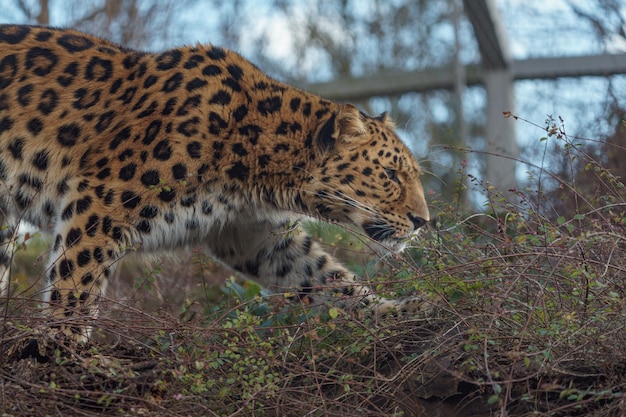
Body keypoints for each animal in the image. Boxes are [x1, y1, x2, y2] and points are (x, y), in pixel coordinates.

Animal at [0, 24, 428, 340]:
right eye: (391, 174)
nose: (424, 221)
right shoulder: (100, 200)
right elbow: (77, 281)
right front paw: (61, 350)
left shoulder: (255, 234)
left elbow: (326, 278)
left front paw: (398, 311)